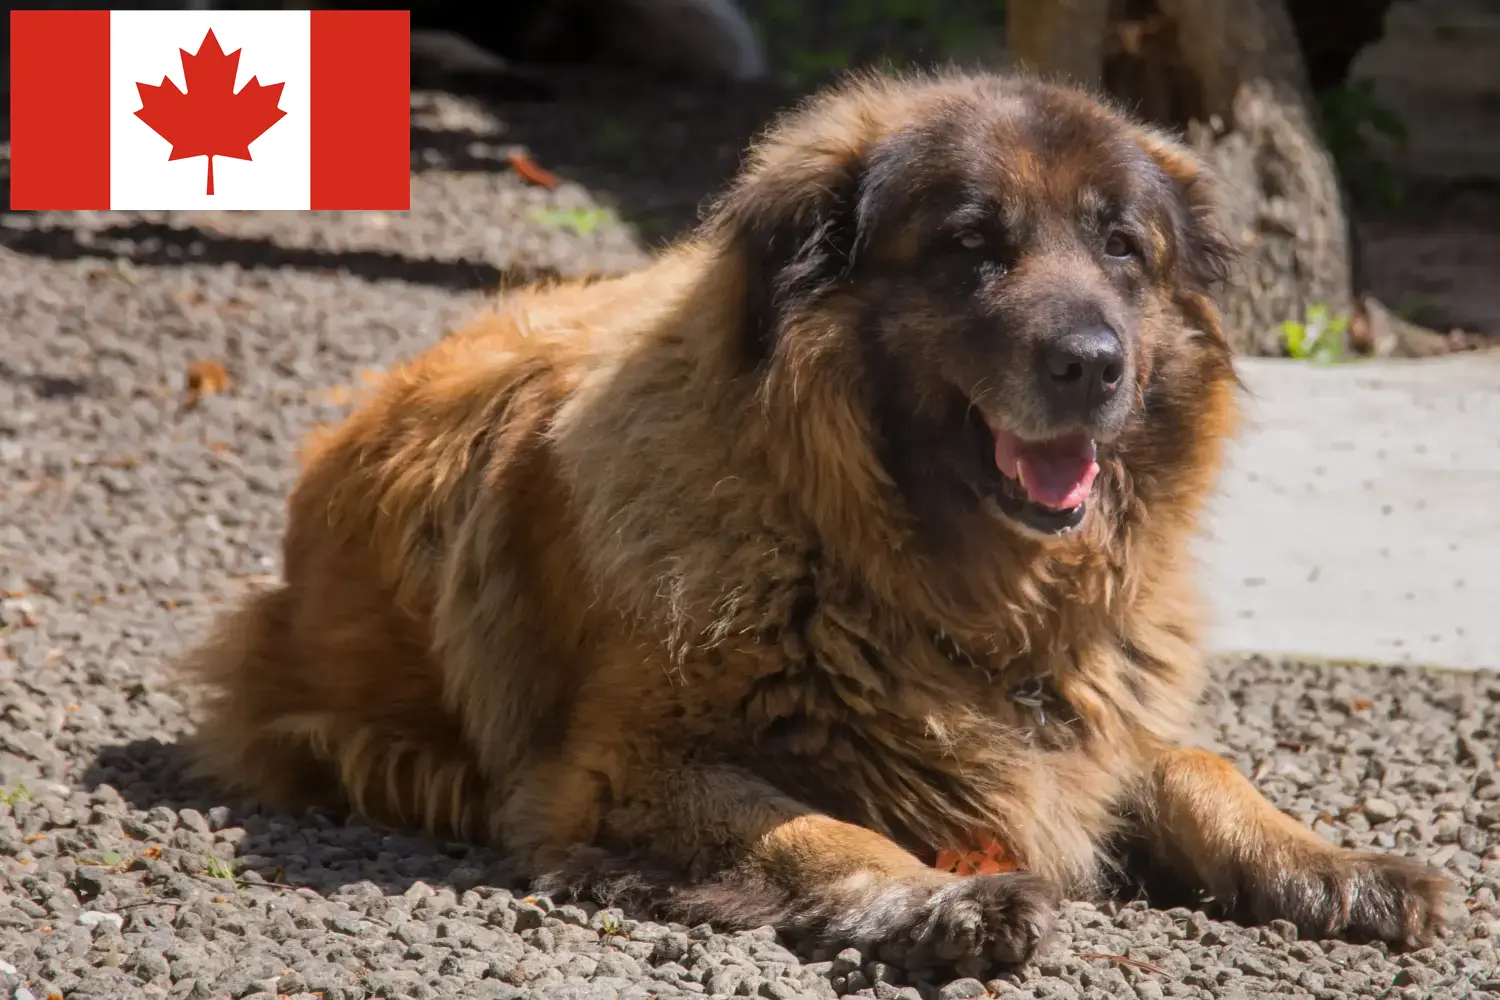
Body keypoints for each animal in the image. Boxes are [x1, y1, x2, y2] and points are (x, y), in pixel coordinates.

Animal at [178, 68, 1452, 971]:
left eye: (1120, 245)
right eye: (973, 246)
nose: (1095, 364)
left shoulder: (1090, 717)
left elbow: (1197, 763)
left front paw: (1327, 858)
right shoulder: (625, 774)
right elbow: (816, 829)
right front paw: (944, 895)